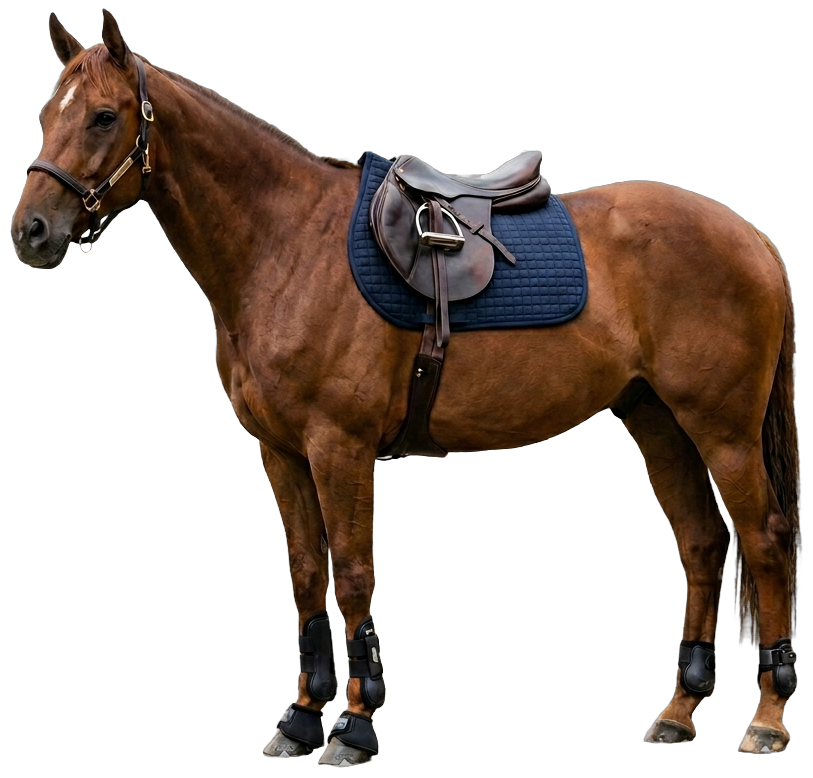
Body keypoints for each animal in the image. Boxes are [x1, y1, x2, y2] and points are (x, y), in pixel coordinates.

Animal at [11, 11, 800, 763]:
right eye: (48, 112)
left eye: (103, 116)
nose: (31, 232)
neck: (285, 244)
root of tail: (751, 236)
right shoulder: (280, 452)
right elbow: (307, 575)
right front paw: (301, 718)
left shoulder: (340, 447)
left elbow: (354, 573)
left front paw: (353, 728)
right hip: (656, 419)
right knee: (701, 544)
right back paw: (677, 712)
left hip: (723, 429)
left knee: (763, 542)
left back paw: (766, 719)